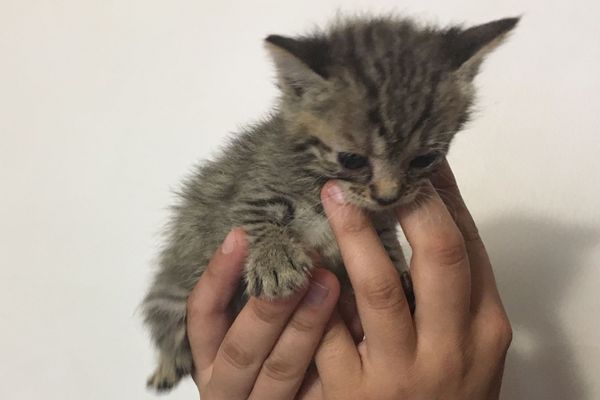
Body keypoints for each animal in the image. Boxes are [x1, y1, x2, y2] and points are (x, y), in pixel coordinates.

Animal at [143, 14, 516, 390]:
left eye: (424, 159)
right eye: (351, 159)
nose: (389, 195)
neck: (316, 174)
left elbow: (386, 242)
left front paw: (398, 271)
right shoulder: (249, 186)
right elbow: (253, 216)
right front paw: (274, 260)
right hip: (173, 298)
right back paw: (165, 367)